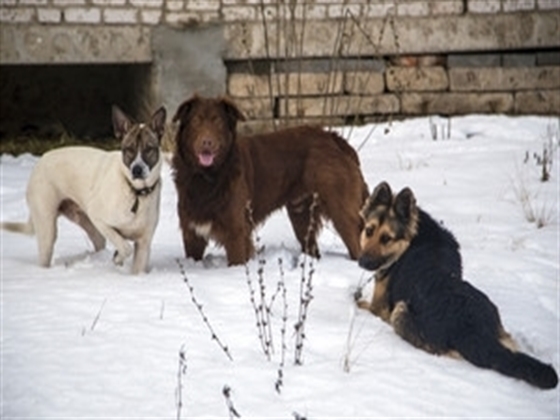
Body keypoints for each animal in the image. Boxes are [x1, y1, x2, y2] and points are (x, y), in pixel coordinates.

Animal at [1, 106, 166, 274]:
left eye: (149, 149)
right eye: (129, 149)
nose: (137, 170)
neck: (136, 192)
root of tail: (40, 161)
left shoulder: (144, 243)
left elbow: (136, 265)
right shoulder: (99, 218)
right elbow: (126, 247)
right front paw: (117, 258)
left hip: (88, 225)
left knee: (98, 243)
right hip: (48, 229)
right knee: (45, 252)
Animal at [173, 96, 370, 264]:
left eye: (218, 122)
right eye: (196, 121)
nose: (207, 142)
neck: (207, 176)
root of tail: (334, 138)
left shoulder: (236, 232)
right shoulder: (192, 233)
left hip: (341, 212)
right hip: (301, 215)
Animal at [356, 181, 556, 390]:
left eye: (387, 238)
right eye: (369, 231)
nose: (363, 262)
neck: (411, 240)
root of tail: (467, 327)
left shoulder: (378, 308)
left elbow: (361, 304)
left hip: (400, 312)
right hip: (500, 329)